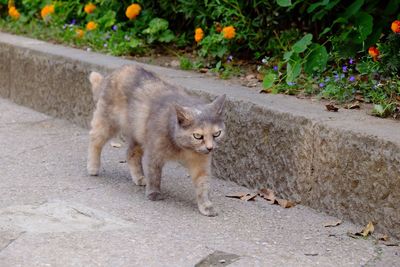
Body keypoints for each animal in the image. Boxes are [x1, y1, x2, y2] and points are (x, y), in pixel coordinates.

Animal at [87, 65, 225, 218]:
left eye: (217, 134)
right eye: (198, 136)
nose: (210, 148)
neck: (184, 149)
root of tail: (116, 71)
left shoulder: (200, 165)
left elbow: (203, 185)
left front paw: (206, 205)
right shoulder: (154, 154)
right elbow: (155, 175)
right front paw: (154, 193)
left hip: (138, 134)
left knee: (131, 153)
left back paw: (139, 177)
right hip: (108, 123)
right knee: (95, 139)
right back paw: (93, 167)